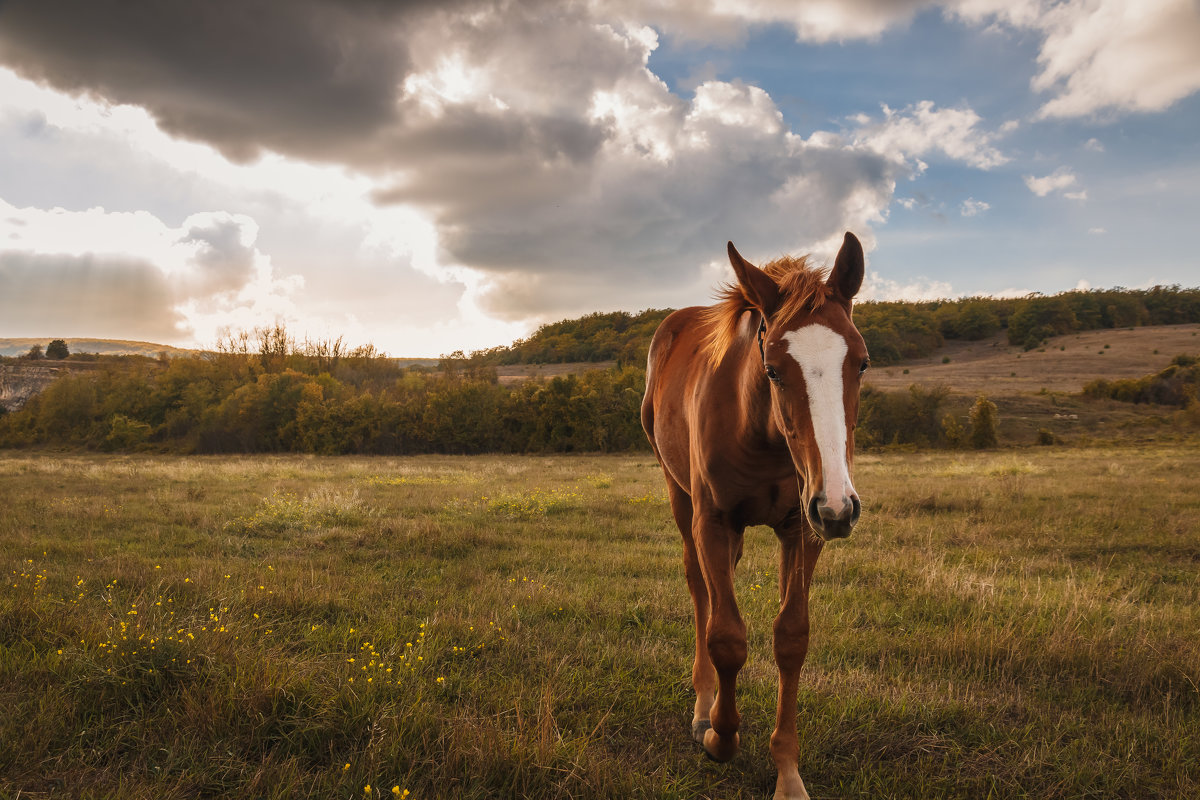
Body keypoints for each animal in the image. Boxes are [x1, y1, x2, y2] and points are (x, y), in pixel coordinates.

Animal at [643, 231, 868, 800]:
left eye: (861, 362)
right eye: (773, 369)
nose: (840, 505)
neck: (762, 433)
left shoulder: (804, 529)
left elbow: (791, 638)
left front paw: (787, 772)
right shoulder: (713, 522)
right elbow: (726, 637)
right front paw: (720, 736)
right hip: (681, 500)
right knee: (700, 590)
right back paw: (704, 707)